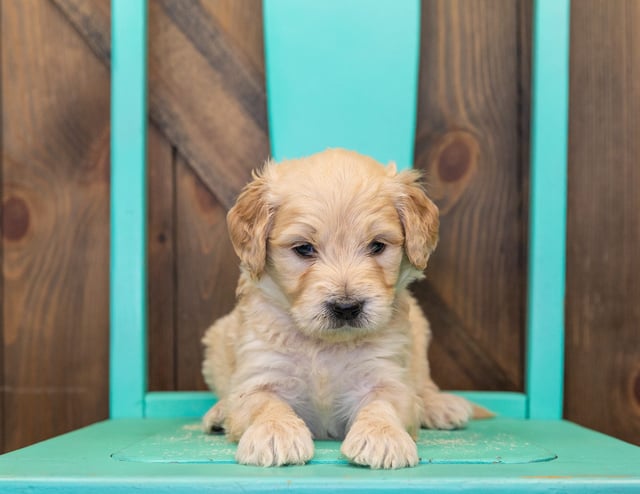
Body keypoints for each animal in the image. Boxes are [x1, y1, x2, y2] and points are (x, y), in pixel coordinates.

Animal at [202, 149, 472, 468]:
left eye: (377, 246)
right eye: (304, 249)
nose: (346, 307)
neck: (325, 345)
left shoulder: (384, 374)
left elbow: (383, 403)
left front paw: (382, 437)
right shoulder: (261, 374)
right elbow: (264, 404)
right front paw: (274, 433)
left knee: (423, 382)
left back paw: (440, 405)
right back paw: (217, 413)